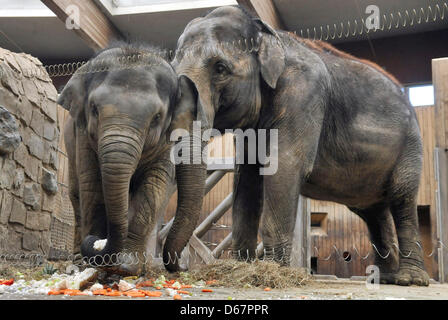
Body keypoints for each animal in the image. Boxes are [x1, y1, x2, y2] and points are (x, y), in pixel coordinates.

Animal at [57, 42, 203, 276]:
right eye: (94, 109)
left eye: (157, 118)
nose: (183, 264)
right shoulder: (82, 135)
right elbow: (91, 185)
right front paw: (96, 262)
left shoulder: (165, 144)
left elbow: (153, 187)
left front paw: (127, 267)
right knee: (76, 193)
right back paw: (78, 261)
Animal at [163, 5, 428, 286]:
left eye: (221, 68)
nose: (180, 266)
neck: (269, 35)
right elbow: (246, 179)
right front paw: (240, 267)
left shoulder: (303, 94)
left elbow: (283, 167)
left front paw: (271, 271)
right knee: (373, 212)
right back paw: (382, 279)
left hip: (411, 144)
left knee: (402, 198)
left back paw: (410, 280)